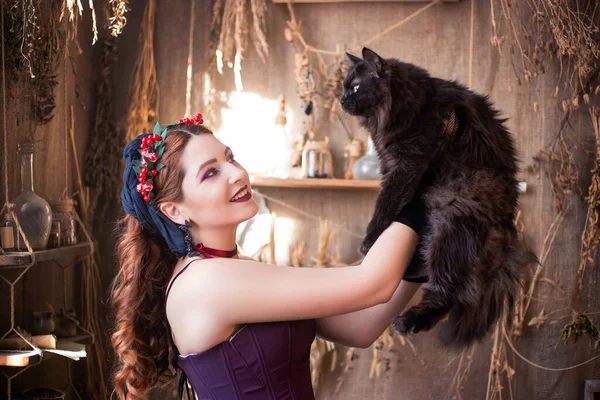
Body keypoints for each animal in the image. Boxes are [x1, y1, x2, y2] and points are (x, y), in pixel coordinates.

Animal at [344, 46, 536, 346]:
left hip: (449, 221)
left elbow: (386, 204)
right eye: (344, 87)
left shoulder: (407, 164)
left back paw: (408, 322)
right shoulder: (391, 164)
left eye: (354, 87)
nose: (341, 100)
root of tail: (504, 224)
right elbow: (391, 200)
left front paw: (370, 240)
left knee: (445, 293)